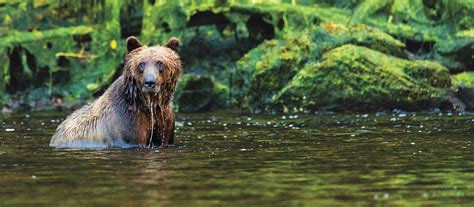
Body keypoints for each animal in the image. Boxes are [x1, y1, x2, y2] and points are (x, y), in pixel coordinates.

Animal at [50, 36, 181, 148]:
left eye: (160, 63)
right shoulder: (128, 123)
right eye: (141, 64)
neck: (148, 103)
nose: (150, 82)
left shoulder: (164, 118)